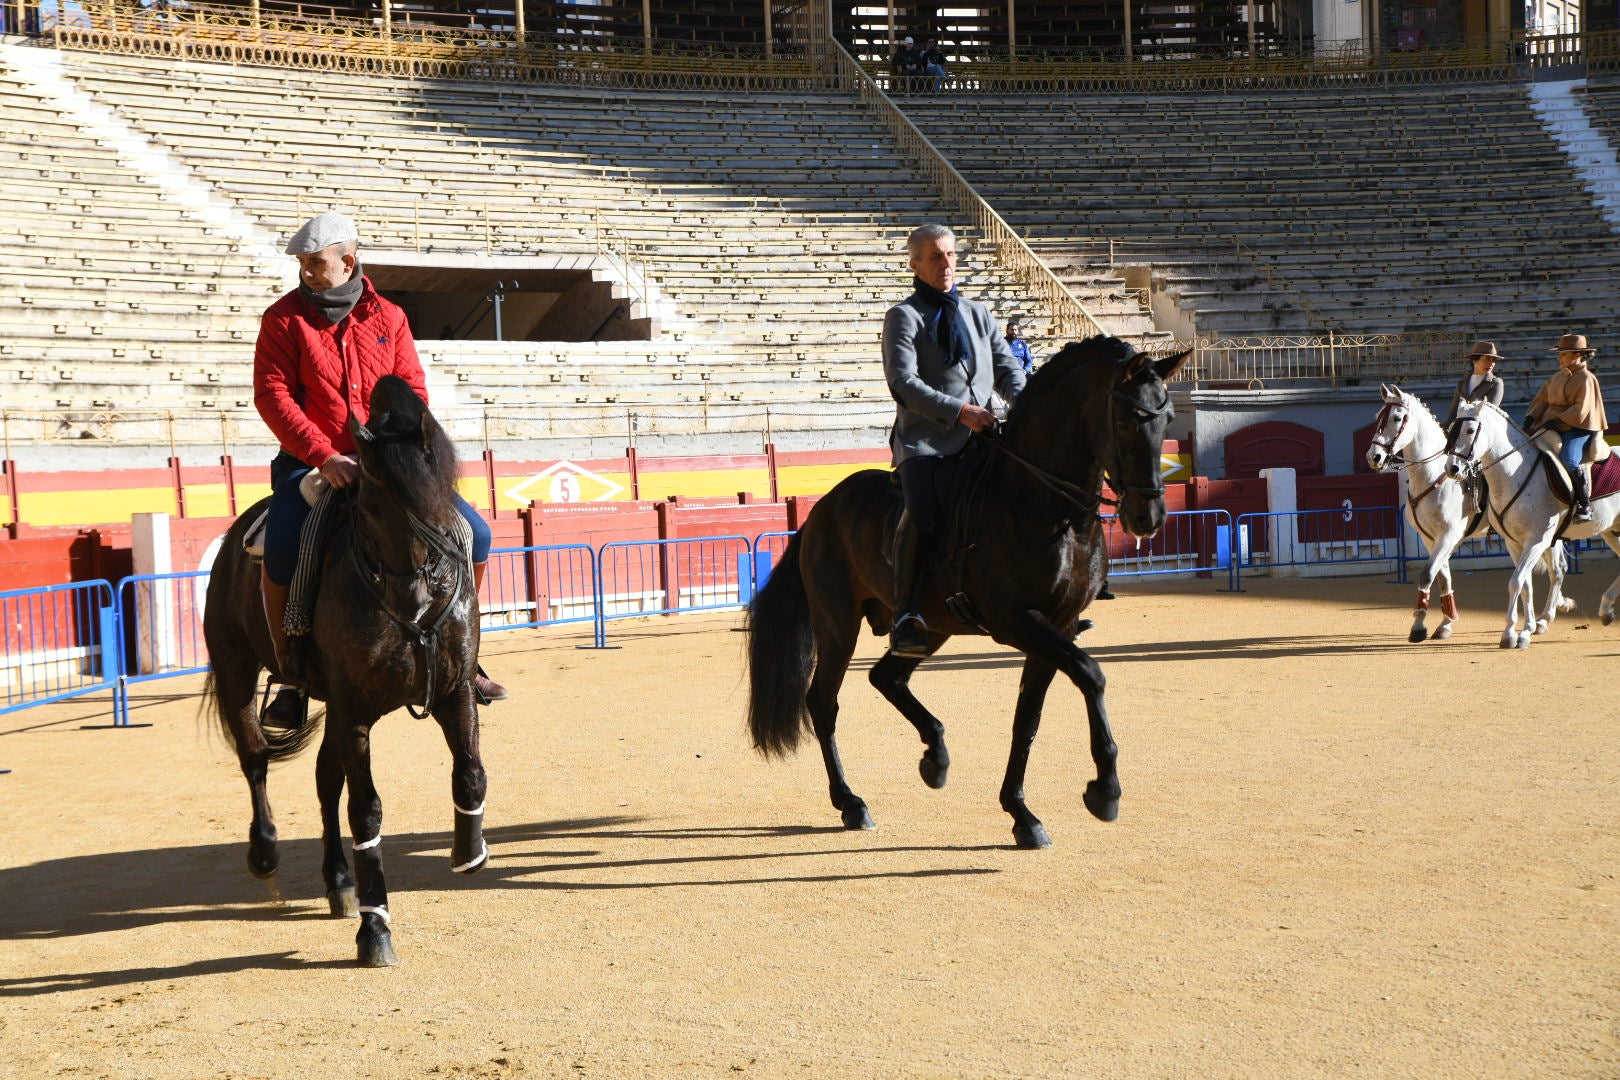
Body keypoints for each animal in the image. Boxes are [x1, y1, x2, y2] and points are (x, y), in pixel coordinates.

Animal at [200, 375, 486, 965]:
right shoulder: (355, 710)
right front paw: (376, 928)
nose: (418, 585)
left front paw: (468, 851)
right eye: (372, 493)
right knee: (255, 758)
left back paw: (338, 881)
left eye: (435, 483)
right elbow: (367, 810)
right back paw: (265, 851)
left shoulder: (453, 692)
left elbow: (470, 774)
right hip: (237, 669)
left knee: (324, 779)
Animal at [745, 333, 1192, 848]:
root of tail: (822, 509)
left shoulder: (1055, 628)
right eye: (1125, 419)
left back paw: (935, 756)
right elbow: (1091, 674)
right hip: (838, 625)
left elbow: (1028, 719)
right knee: (823, 702)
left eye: (1168, 419)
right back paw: (851, 802)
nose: (1148, 517)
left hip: (930, 627)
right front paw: (1105, 790)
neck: (1048, 507)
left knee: (886, 677)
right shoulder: (1017, 622)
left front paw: (1022, 813)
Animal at [1367, 383, 1568, 641]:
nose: (1374, 457)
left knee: (1557, 569)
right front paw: (1445, 623)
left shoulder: (1449, 534)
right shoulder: (1430, 538)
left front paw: (1419, 626)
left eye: (1397, 417)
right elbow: (1442, 577)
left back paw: (1545, 619)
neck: (1433, 477)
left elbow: (1428, 574)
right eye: (1377, 417)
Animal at [1451, 399, 1613, 647]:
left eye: (1470, 430)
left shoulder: (1537, 540)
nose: (1452, 468)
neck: (1514, 474)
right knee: (1558, 570)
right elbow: (1525, 584)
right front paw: (1523, 629)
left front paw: (1513, 633)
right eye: (1452, 428)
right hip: (1611, 530)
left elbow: (1516, 581)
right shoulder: (1513, 543)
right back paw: (1600, 611)